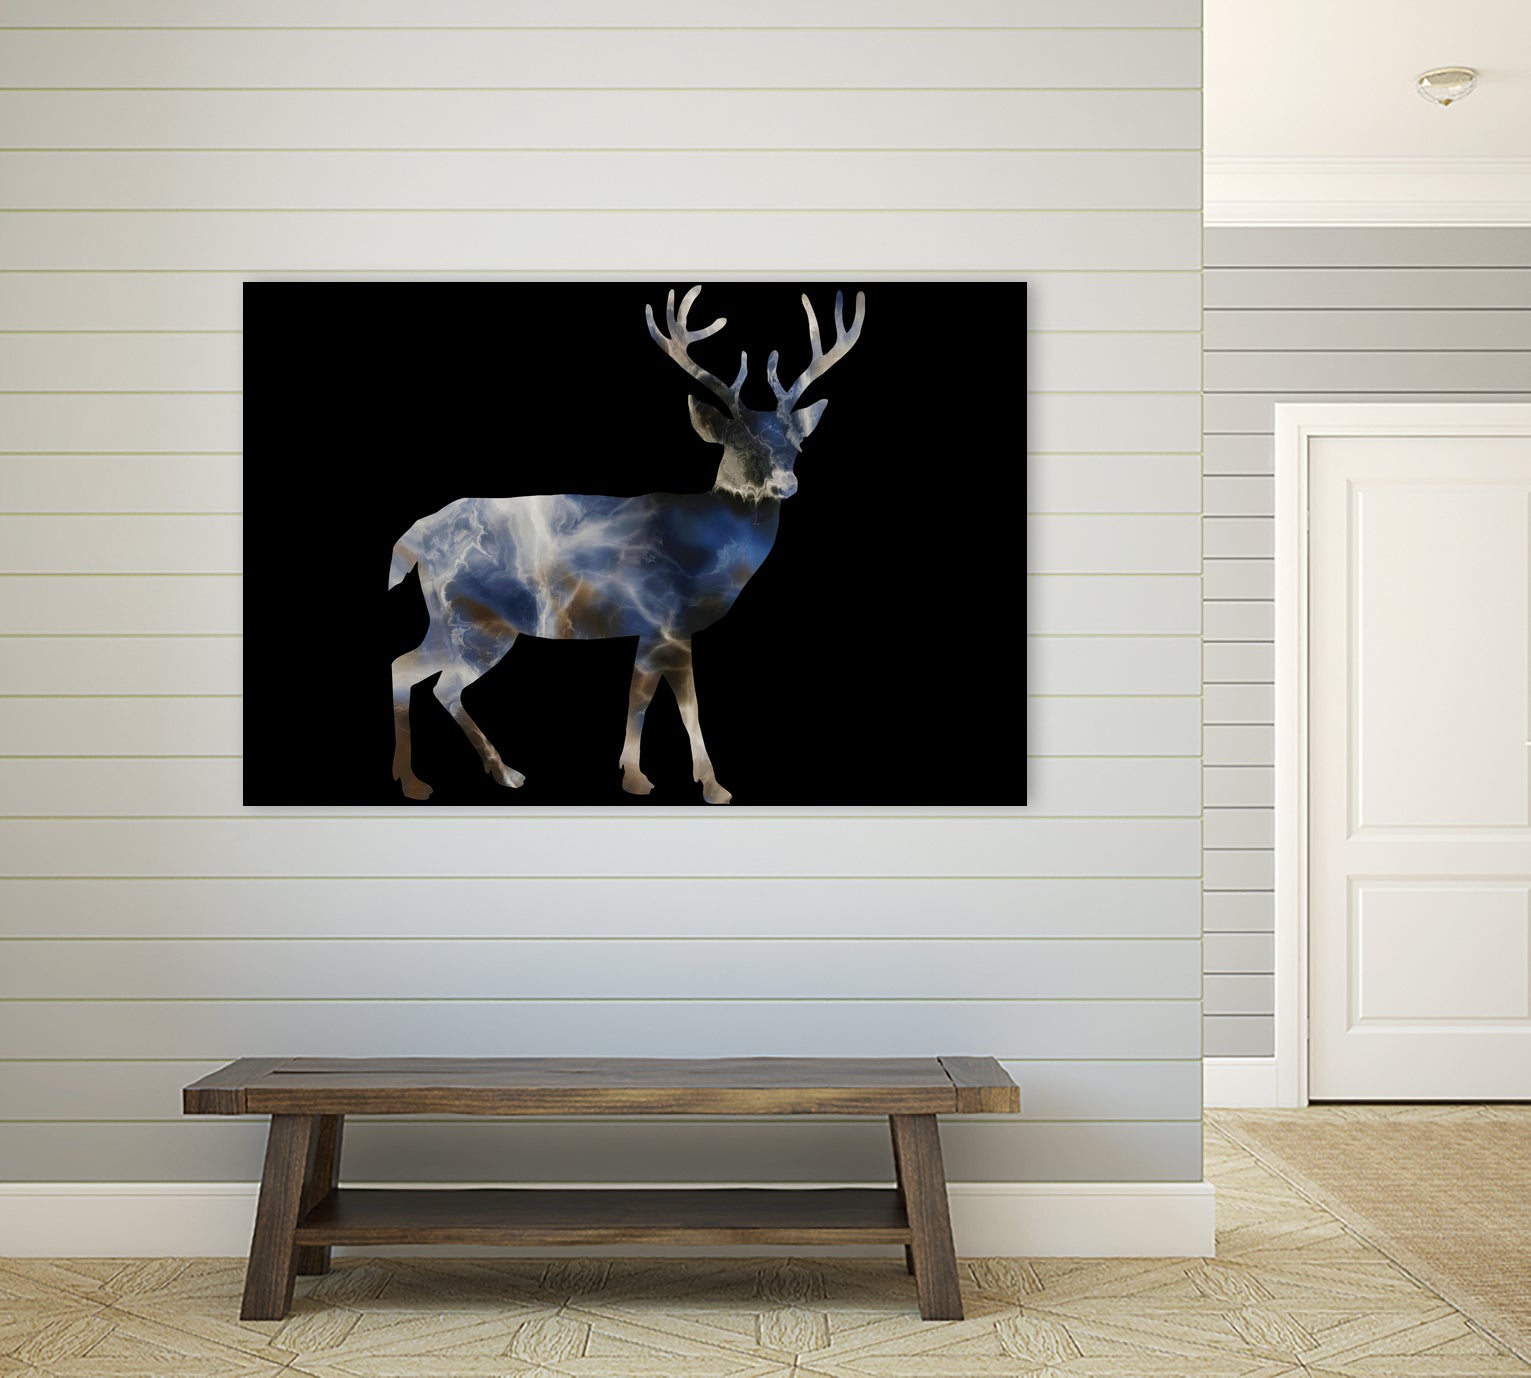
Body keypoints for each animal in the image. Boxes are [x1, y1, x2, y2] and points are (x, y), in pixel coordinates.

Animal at [387, 284, 866, 804]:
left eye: (797, 445)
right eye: (740, 443)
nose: (787, 484)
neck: (707, 548)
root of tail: (415, 539)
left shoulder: (652, 628)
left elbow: (641, 697)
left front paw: (636, 774)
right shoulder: (668, 620)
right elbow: (680, 704)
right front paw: (706, 784)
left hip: (450, 618)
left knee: (412, 670)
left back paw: (458, 774)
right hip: (476, 620)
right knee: (433, 680)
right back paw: (453, 777)